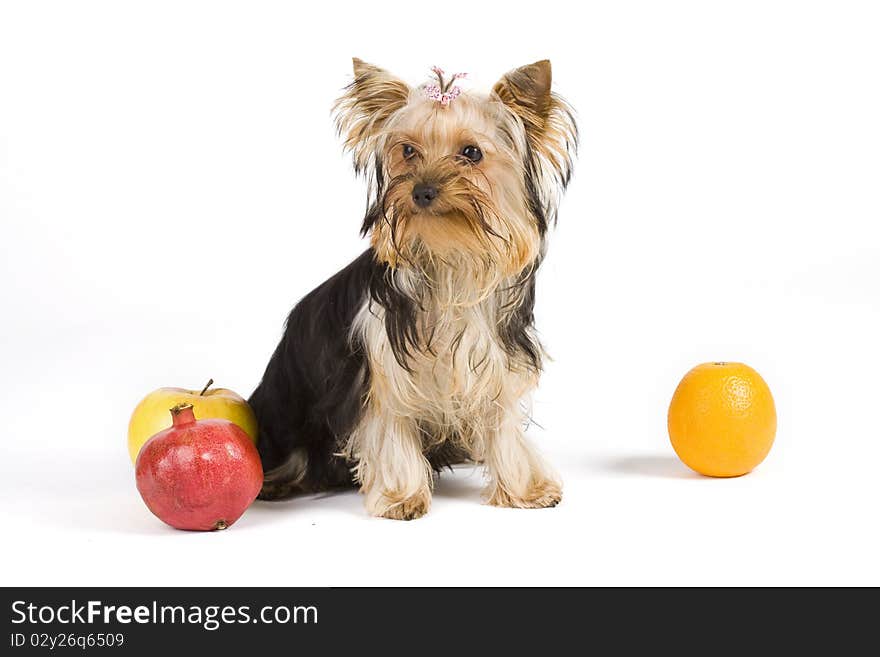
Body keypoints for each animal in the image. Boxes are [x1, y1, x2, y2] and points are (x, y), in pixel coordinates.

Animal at [249, 60, 576, 516]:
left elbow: (504, 427)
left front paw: (525, 489)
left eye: (471, 153)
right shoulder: (382, 370)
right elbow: (391, 425)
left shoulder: (495, 363)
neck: (450, 261)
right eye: (407, 151)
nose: (422, 190)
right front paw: (400, 496)